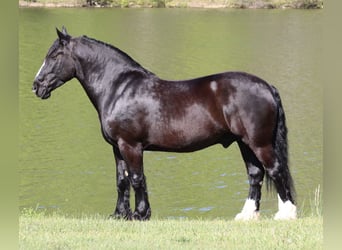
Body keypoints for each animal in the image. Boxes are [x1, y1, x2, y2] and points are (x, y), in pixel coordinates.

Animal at [32, 27, 296, 221]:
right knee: (255, 174)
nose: (36, 86)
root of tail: (267, 86)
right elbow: (121, 181)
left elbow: (137, 178)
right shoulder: (117, 147)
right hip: (244, 143)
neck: (118, 88)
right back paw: (247, 215)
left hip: (259, 143)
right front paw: (119, 215)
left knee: (275, 170)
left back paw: (286, 214)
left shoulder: (130, 145)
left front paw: (140, 214)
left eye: (54, 56)